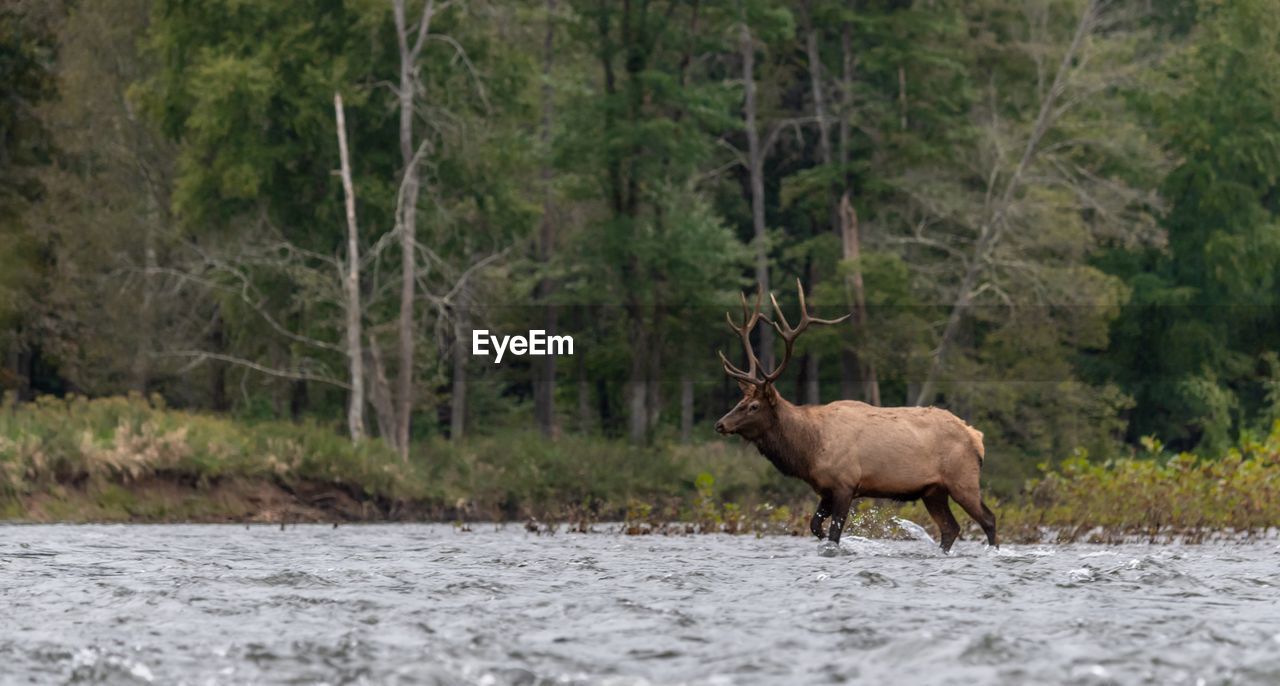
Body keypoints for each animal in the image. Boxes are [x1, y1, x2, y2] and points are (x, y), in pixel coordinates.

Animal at [716, 281, 993, 555]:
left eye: (753, 406)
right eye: (740, 401)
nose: (720, 424)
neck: (809, 449)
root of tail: (976, 437)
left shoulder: (845, 483)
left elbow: (834, 532)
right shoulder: (826, 489)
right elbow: (815, 526)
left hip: (963, 479)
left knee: (987, 519)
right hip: (933, 490)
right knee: (951, 528)